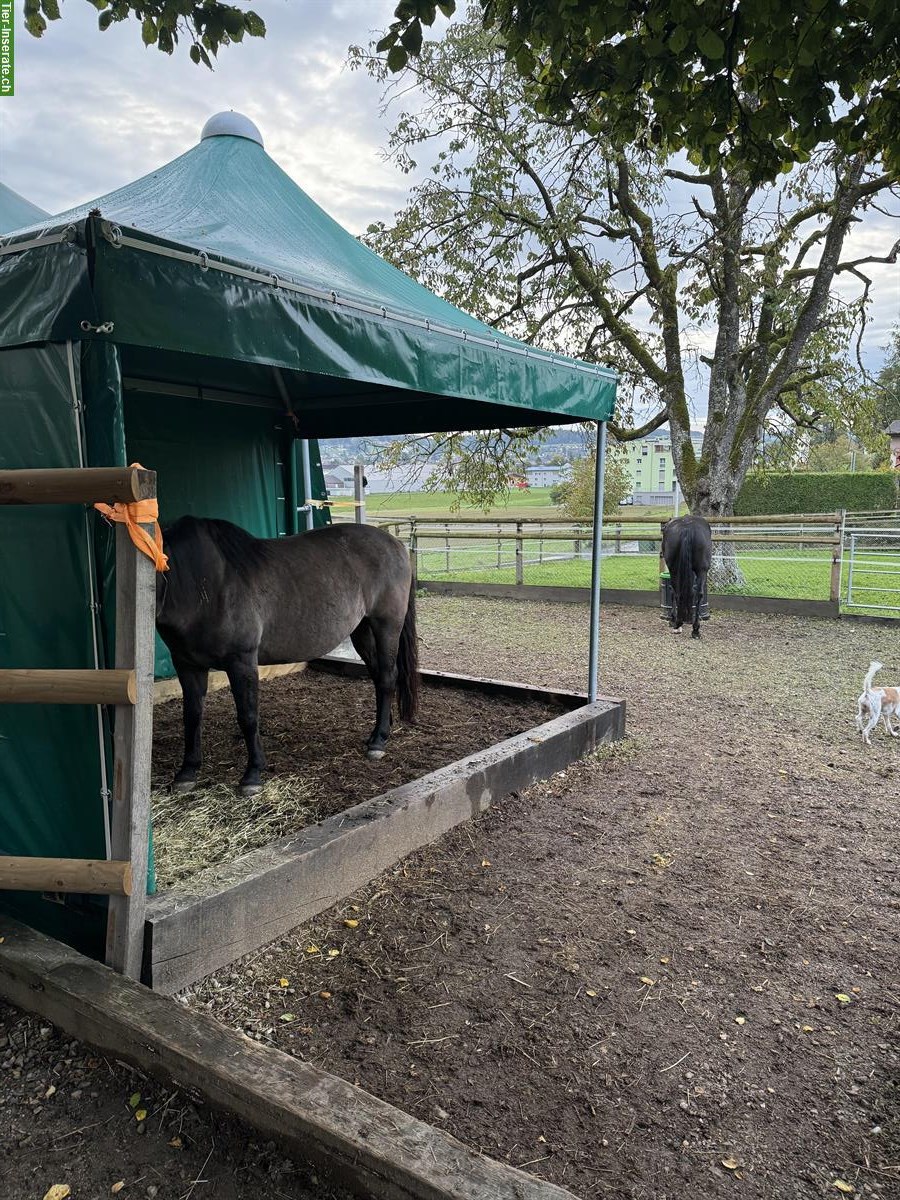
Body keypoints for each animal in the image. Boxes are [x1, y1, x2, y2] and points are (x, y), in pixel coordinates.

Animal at [157, 518, 422, 792]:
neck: (202, 584)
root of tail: (396, 545)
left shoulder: (242, 661)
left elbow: (248, 716)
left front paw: (253, 774)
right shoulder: (187, 665)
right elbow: (192, 716)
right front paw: (187, 772)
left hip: (386, 626)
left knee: (388, 677)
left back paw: (379, 742)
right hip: (362, 631)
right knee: (379, 678)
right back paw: (380, 730)